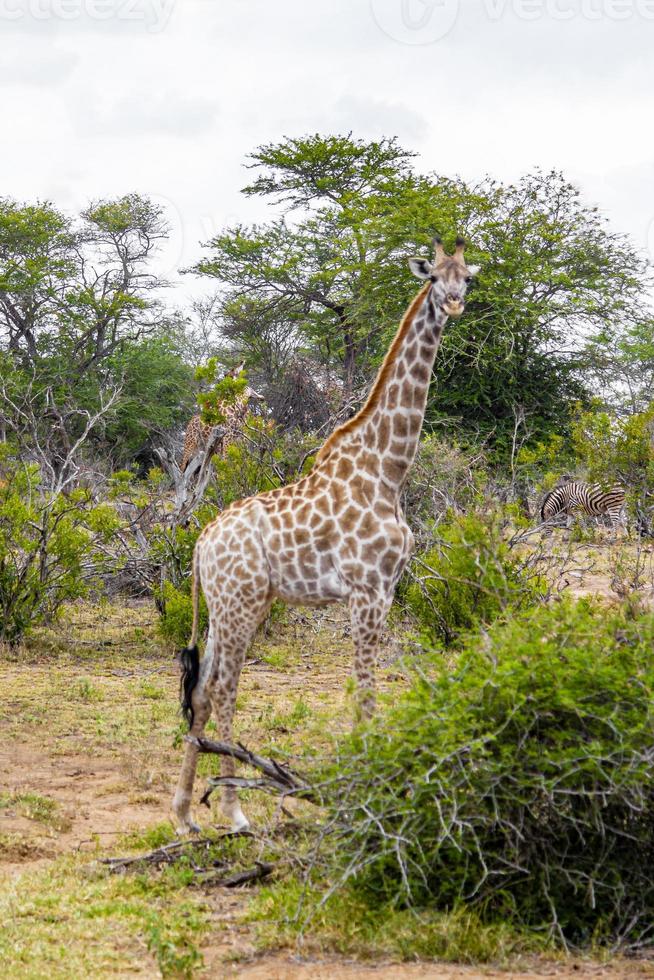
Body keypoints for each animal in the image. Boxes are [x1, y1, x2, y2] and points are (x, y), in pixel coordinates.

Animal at [174, 237, 482, 836]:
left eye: (467, 278)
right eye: (433, 276)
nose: (455, 304)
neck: (389, 469)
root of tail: (201, 543)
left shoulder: (384, 589)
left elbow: (365, 689)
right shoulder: (369, 589)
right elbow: (364, 691)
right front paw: (368, 792)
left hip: (226, 605)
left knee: (199, 689)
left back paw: (182, 814)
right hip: (243, 603)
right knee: (223, 686)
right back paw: (235, 812)